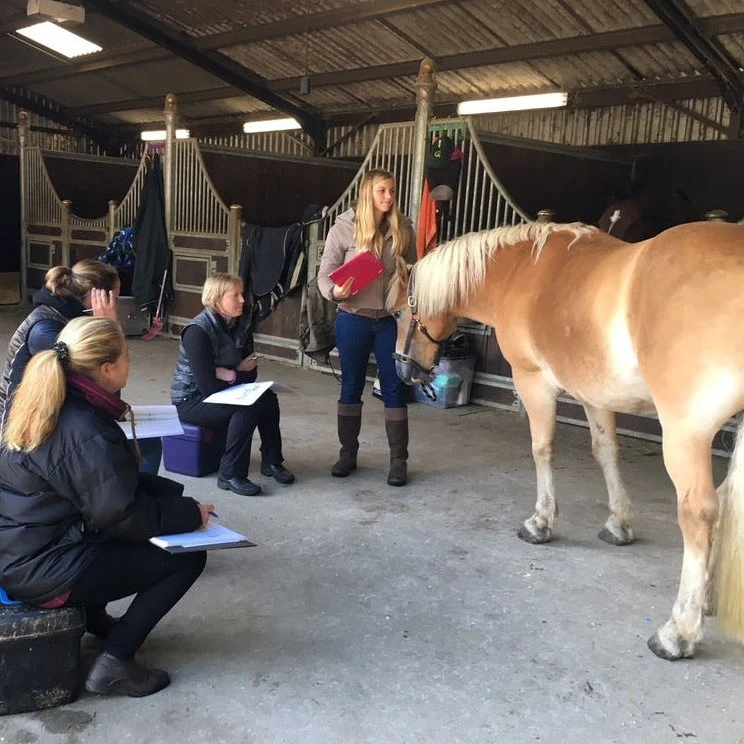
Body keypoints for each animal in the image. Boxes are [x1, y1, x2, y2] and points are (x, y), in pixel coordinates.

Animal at [396, 219, 744, 656]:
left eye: (399, 312)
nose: (403, 370)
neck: (519, 272)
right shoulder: (594, 393)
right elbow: (606, 452)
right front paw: (618, 524)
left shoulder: (533, 383)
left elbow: (542, 449)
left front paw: (541, 521)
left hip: (685, 434)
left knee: (699, 512)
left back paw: (679, 630)